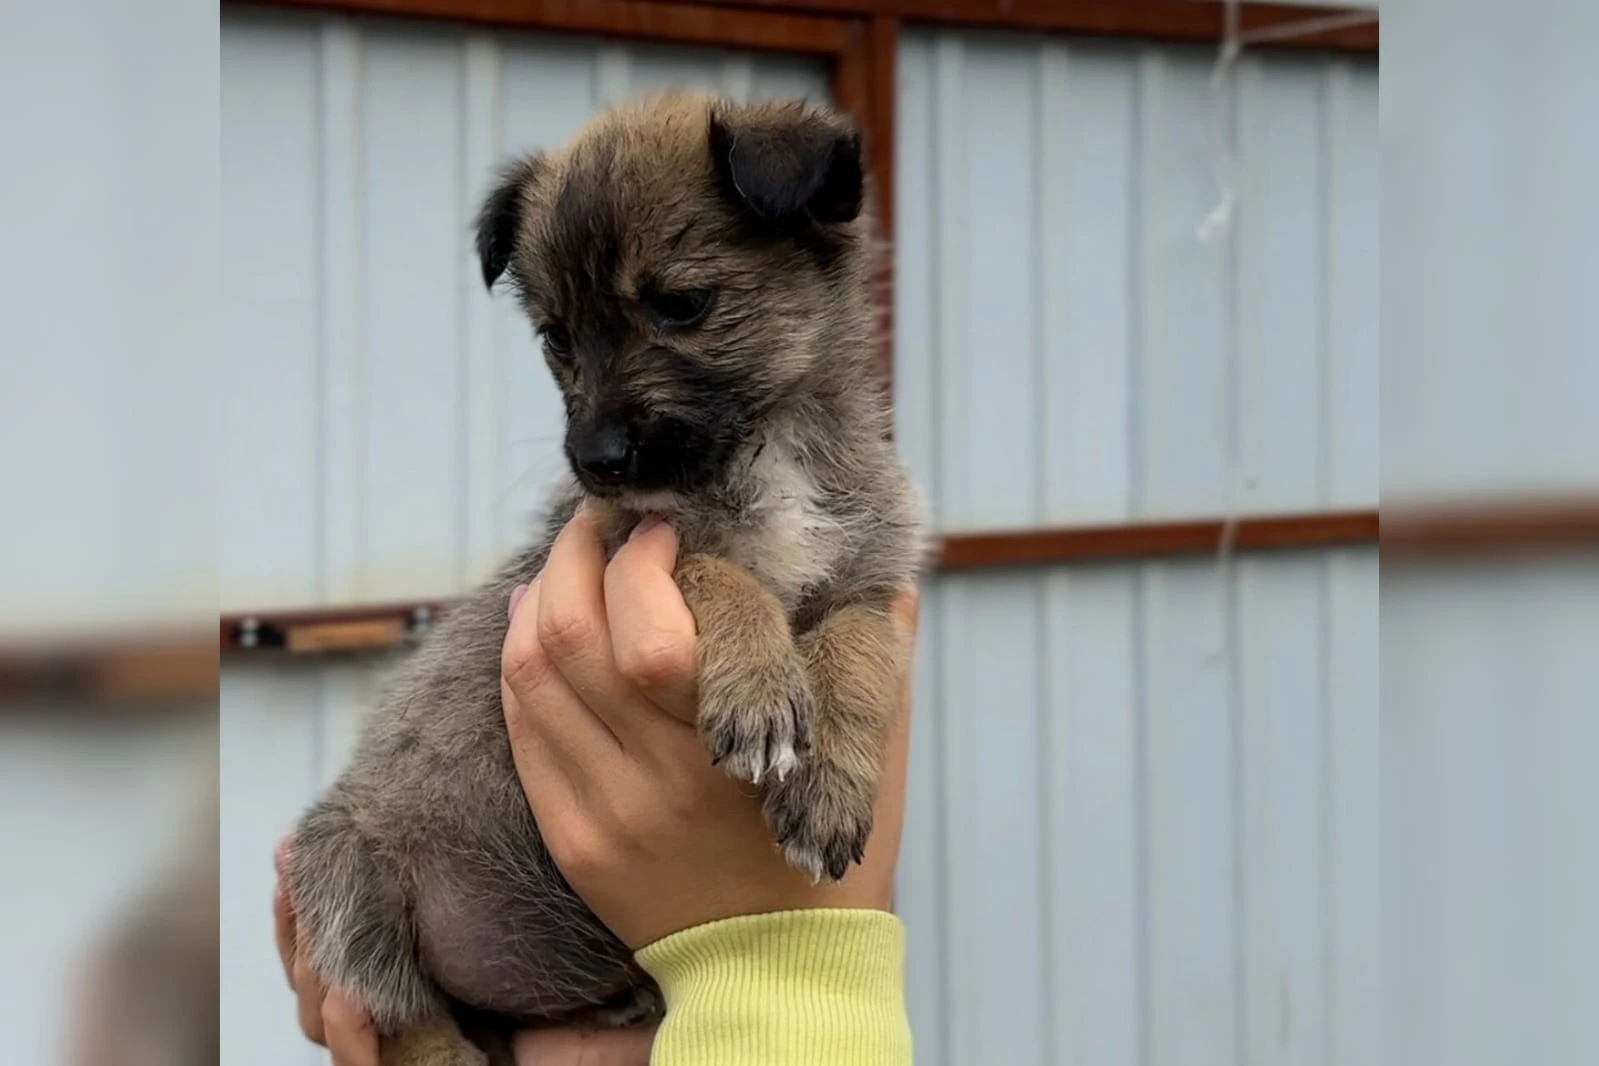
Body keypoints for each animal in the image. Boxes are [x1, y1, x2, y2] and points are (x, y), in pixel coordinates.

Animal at [281, 91, 921, 1066]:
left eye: (683, 305)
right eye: (555, 338)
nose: (596, 460)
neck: (769, 455)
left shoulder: (868, 586)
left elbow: (856, 648)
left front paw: (833, 787)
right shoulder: (632, 544)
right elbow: (715, 569)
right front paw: (759, 689)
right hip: (346, 874)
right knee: (406, 1014)